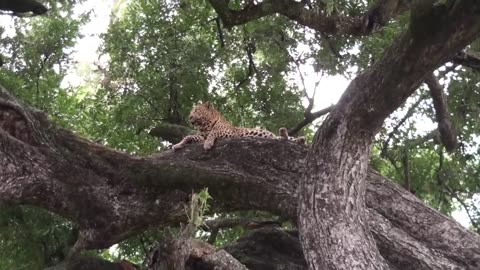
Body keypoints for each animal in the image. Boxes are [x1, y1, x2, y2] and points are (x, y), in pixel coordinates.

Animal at [172, 101, 306, 152]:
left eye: (197, 110)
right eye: (191, 112)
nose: (189, 117)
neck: (205, 125)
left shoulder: (229, 132)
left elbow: (213, 132)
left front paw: (208, 144)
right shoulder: (201, 136)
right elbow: (189, 136)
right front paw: (178, 145)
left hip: (264, 134)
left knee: (287, 139)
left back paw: (295, 136)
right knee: (284, 139)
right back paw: (298, 138)